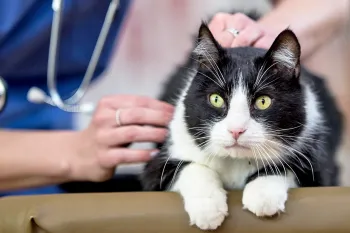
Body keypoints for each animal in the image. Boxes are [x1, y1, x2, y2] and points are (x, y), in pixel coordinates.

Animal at [139, 22, 342, 230]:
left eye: (263, 102)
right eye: (216, 99)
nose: (236, 130)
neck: (236, 160)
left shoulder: (317, 163)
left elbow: (289, 166)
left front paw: (262, 194)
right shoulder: (158, 165)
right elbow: (190, 167)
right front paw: (208, 209)